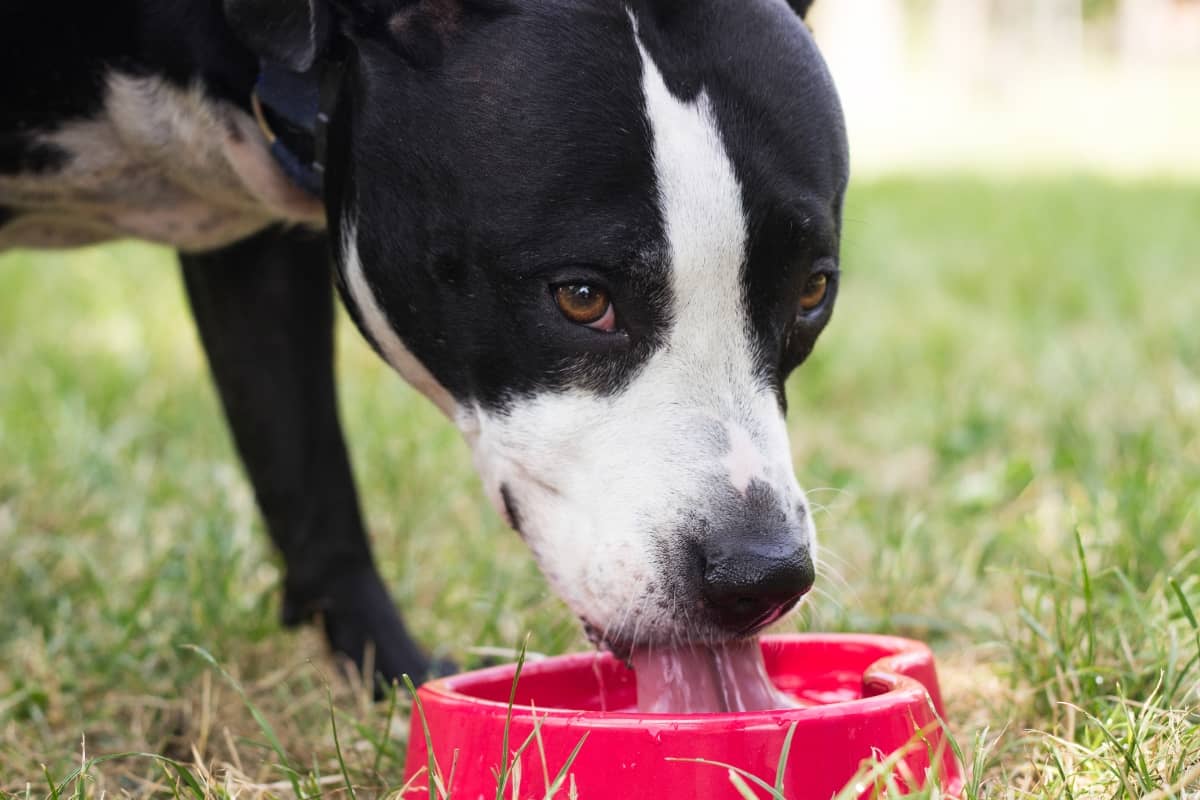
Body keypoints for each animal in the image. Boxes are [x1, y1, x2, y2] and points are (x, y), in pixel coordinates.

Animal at [0, 0, 849, 690]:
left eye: (812, 291)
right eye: (582, 298)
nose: (761, 576)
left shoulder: (267, 255)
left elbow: (305, 471)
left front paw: (390, 681)